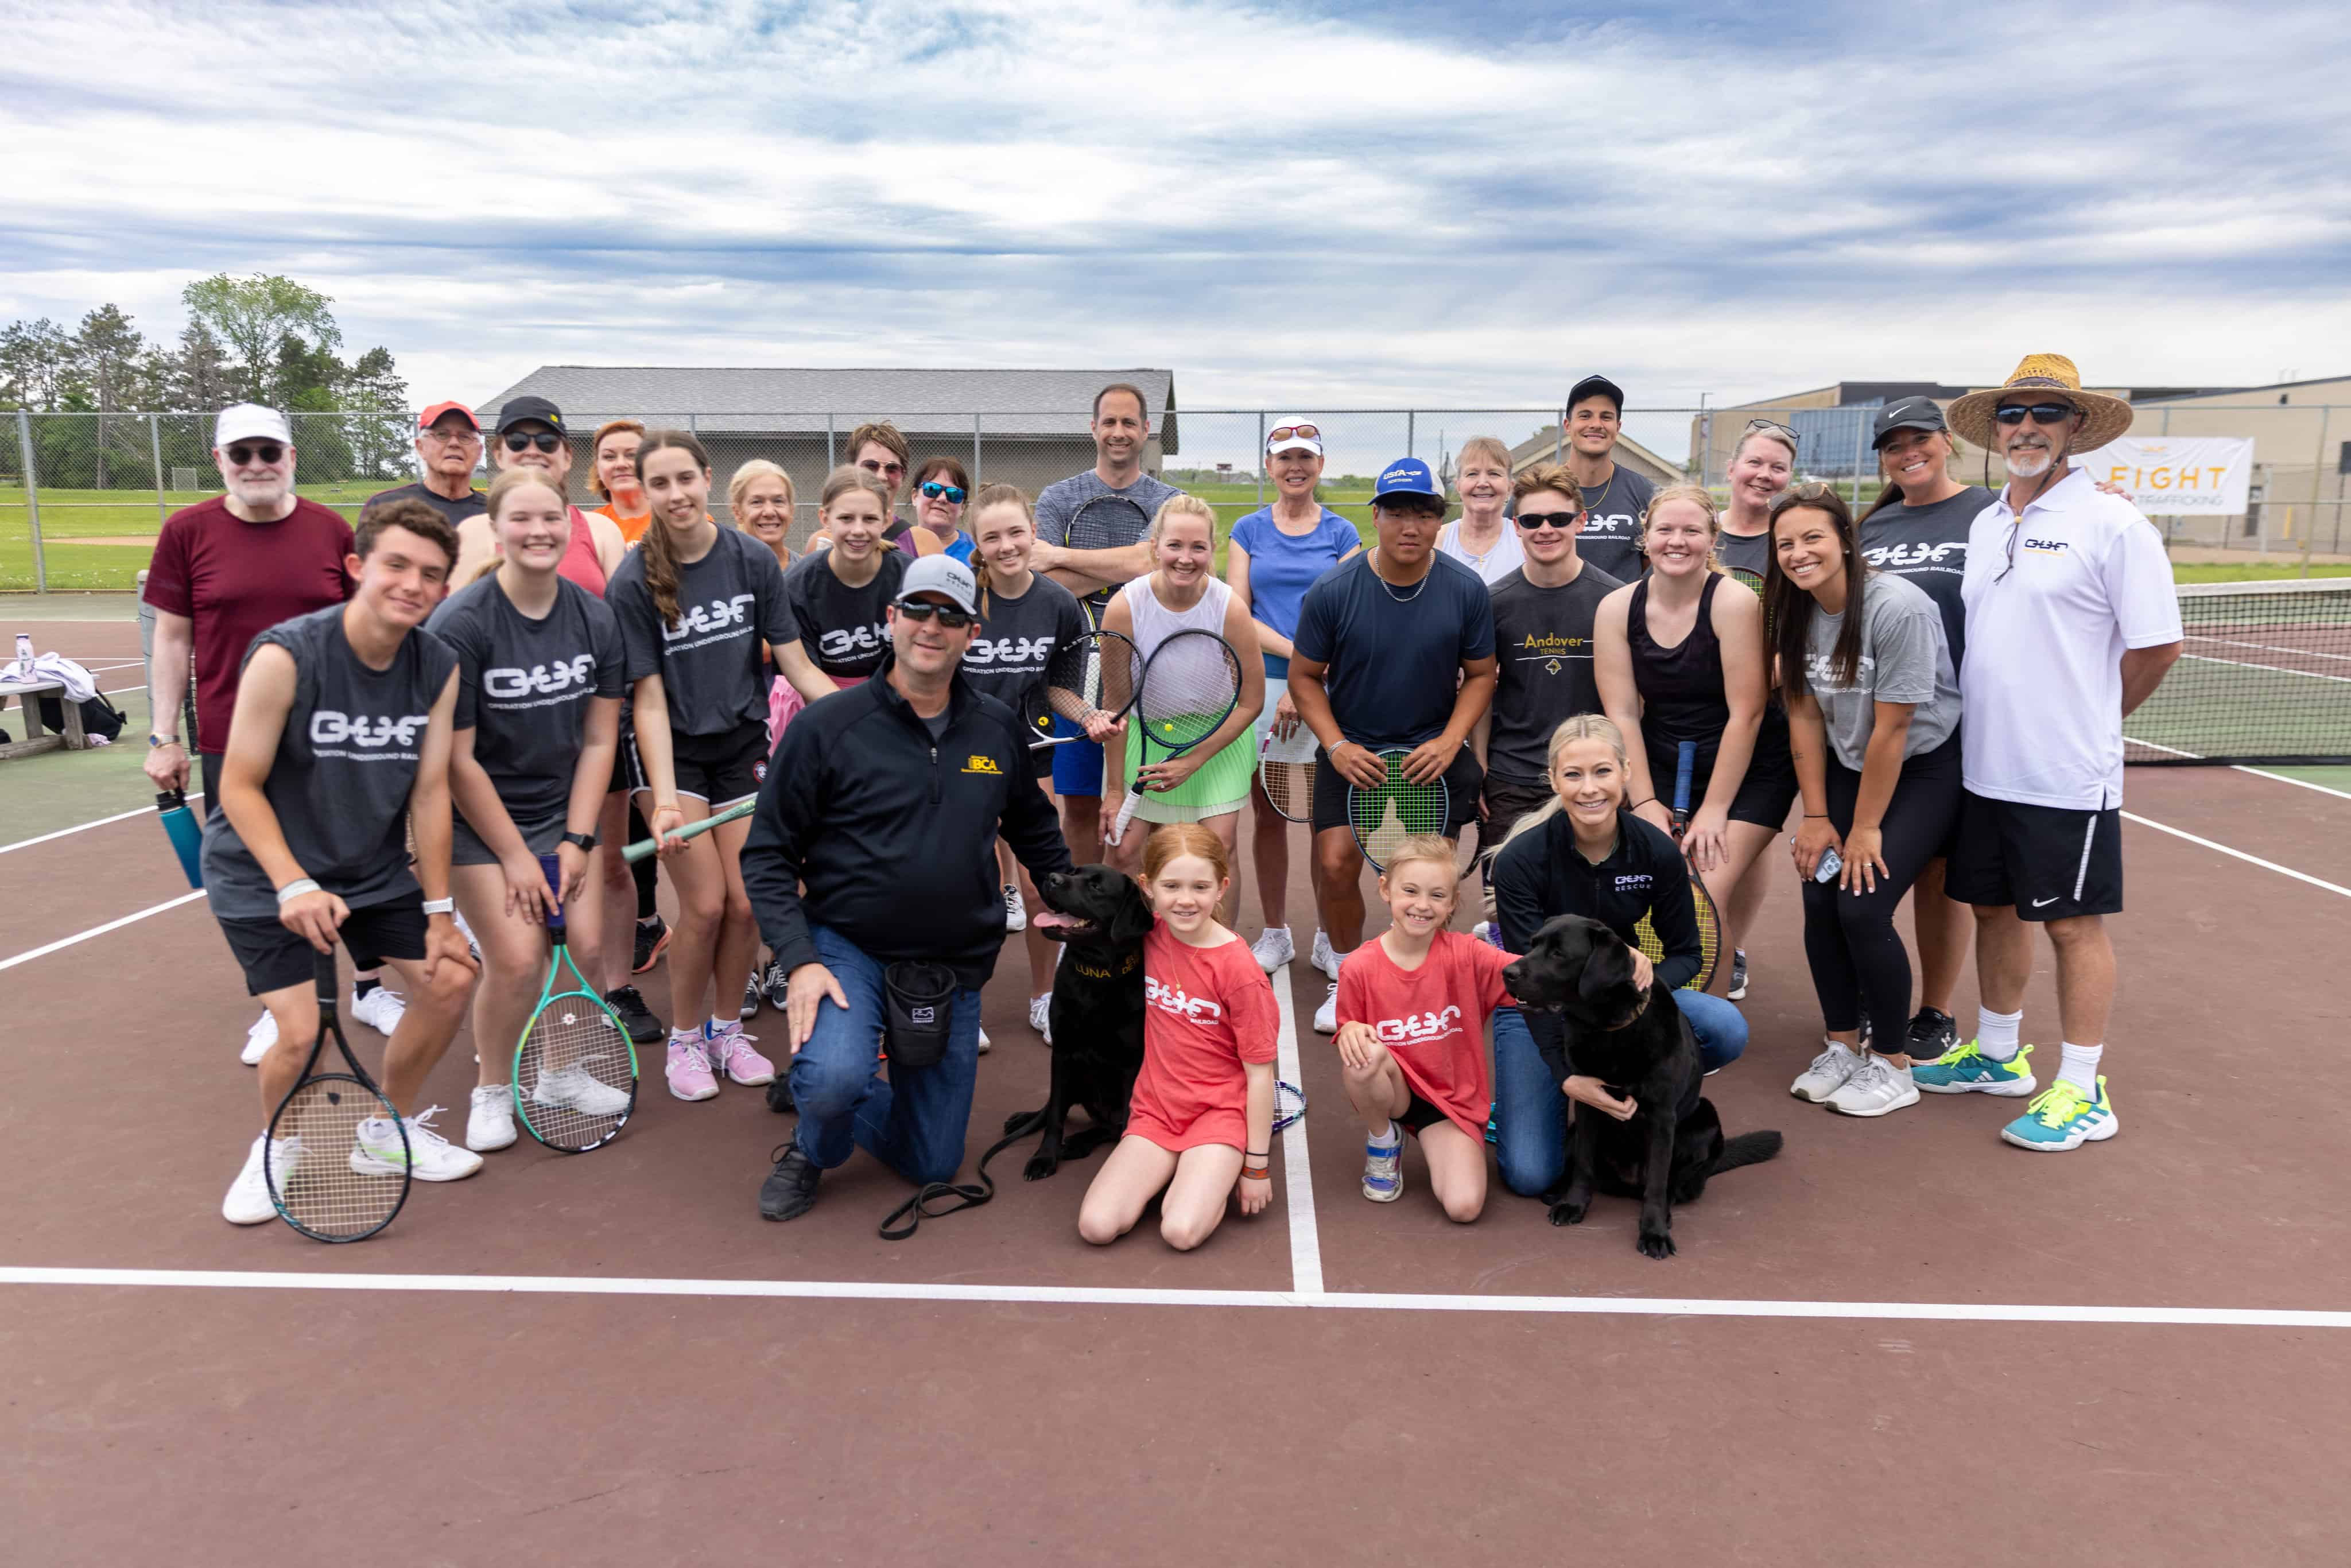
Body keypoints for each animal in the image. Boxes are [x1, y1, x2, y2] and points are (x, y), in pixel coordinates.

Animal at [1001, 865, 1157, 1185]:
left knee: (1112, 1127)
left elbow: (1127, 1122)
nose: (1052, 878)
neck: (1096, 975)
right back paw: (1027, 1121)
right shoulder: (1063, 1054)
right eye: (1073, 872)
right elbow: (1055, 1115)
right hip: (1074, 1077)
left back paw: (1078, 1143)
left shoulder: (1130, 1065)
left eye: (1097, 887)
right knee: (1052, 1107)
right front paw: (1044, 1157)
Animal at [1504, 907, 1777, 1260]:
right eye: (1533, 944)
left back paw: (1666, 1214)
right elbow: (1584, 1165)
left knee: (1672, 1186)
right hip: (1575, 1133)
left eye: (1558, 954)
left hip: (1706, 1121)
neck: (1609, 1031)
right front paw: (1574, 1205)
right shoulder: (1588, 1103)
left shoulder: (1662, 1117)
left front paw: (1654, 1232)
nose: (1507, 972)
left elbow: (1658, 1183)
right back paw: (1557, 1193)